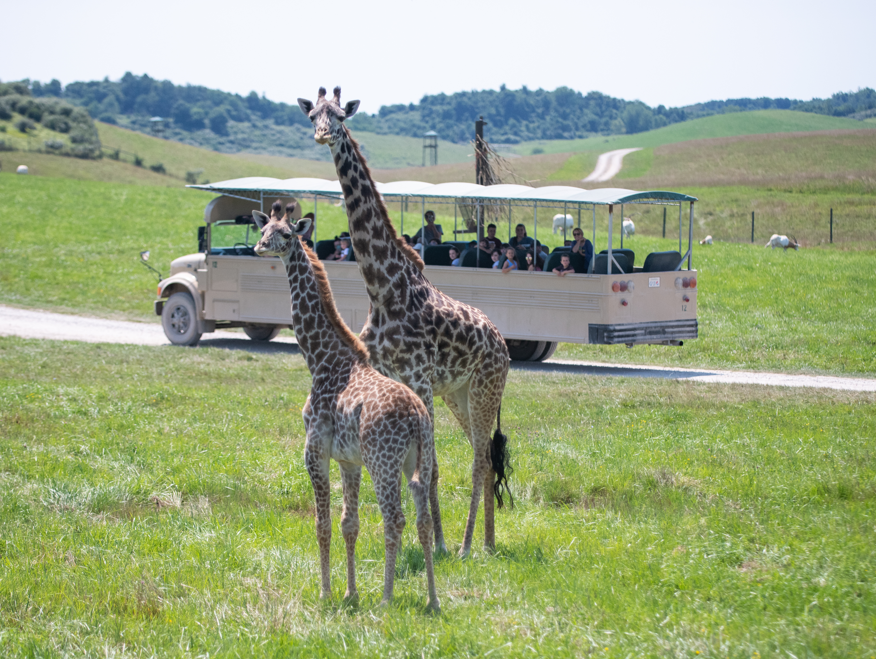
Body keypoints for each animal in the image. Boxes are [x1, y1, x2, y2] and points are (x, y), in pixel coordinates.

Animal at [255, 202, 442, 612]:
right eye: (263, 230)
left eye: (286, 234)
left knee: (395, 518)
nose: (259, 247)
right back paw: (432, 600)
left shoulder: (314, 450)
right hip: (415, 460)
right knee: (421, 516)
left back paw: (387, 598)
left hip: (383, 461)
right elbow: (349, 524)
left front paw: (326, 592)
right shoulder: (348, 460)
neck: (320, 359)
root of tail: (417, 417)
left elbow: (322, 523)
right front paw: (349, 592)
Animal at [298, 87, 510, 560]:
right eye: (313, 114)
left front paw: (440, 544)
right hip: (459, 394)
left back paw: (467, 545)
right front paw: (425, 539)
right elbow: (414, 466)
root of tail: (503, 345)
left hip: (484, 389)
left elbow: (430, 467)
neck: (382, 287)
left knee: (479, 459)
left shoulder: (419, 376)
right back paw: (488, 542)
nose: (322, 135)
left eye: (339, 116)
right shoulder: (392, 376)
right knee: (486, 455)